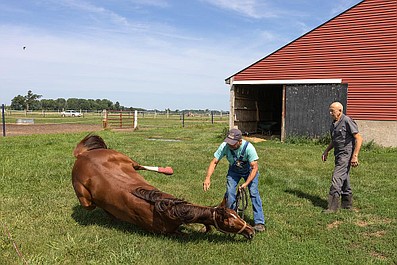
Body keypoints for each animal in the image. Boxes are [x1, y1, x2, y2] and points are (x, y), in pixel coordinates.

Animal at [71, 133, 254, 238]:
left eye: (237, 214)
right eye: (230, 223)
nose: (251, 231)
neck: (166, 209)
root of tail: (82, 155)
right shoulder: (170, 232)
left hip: (123, 158)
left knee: (138, 166)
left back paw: (166, 170)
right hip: (84, 199)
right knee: (91, 204)